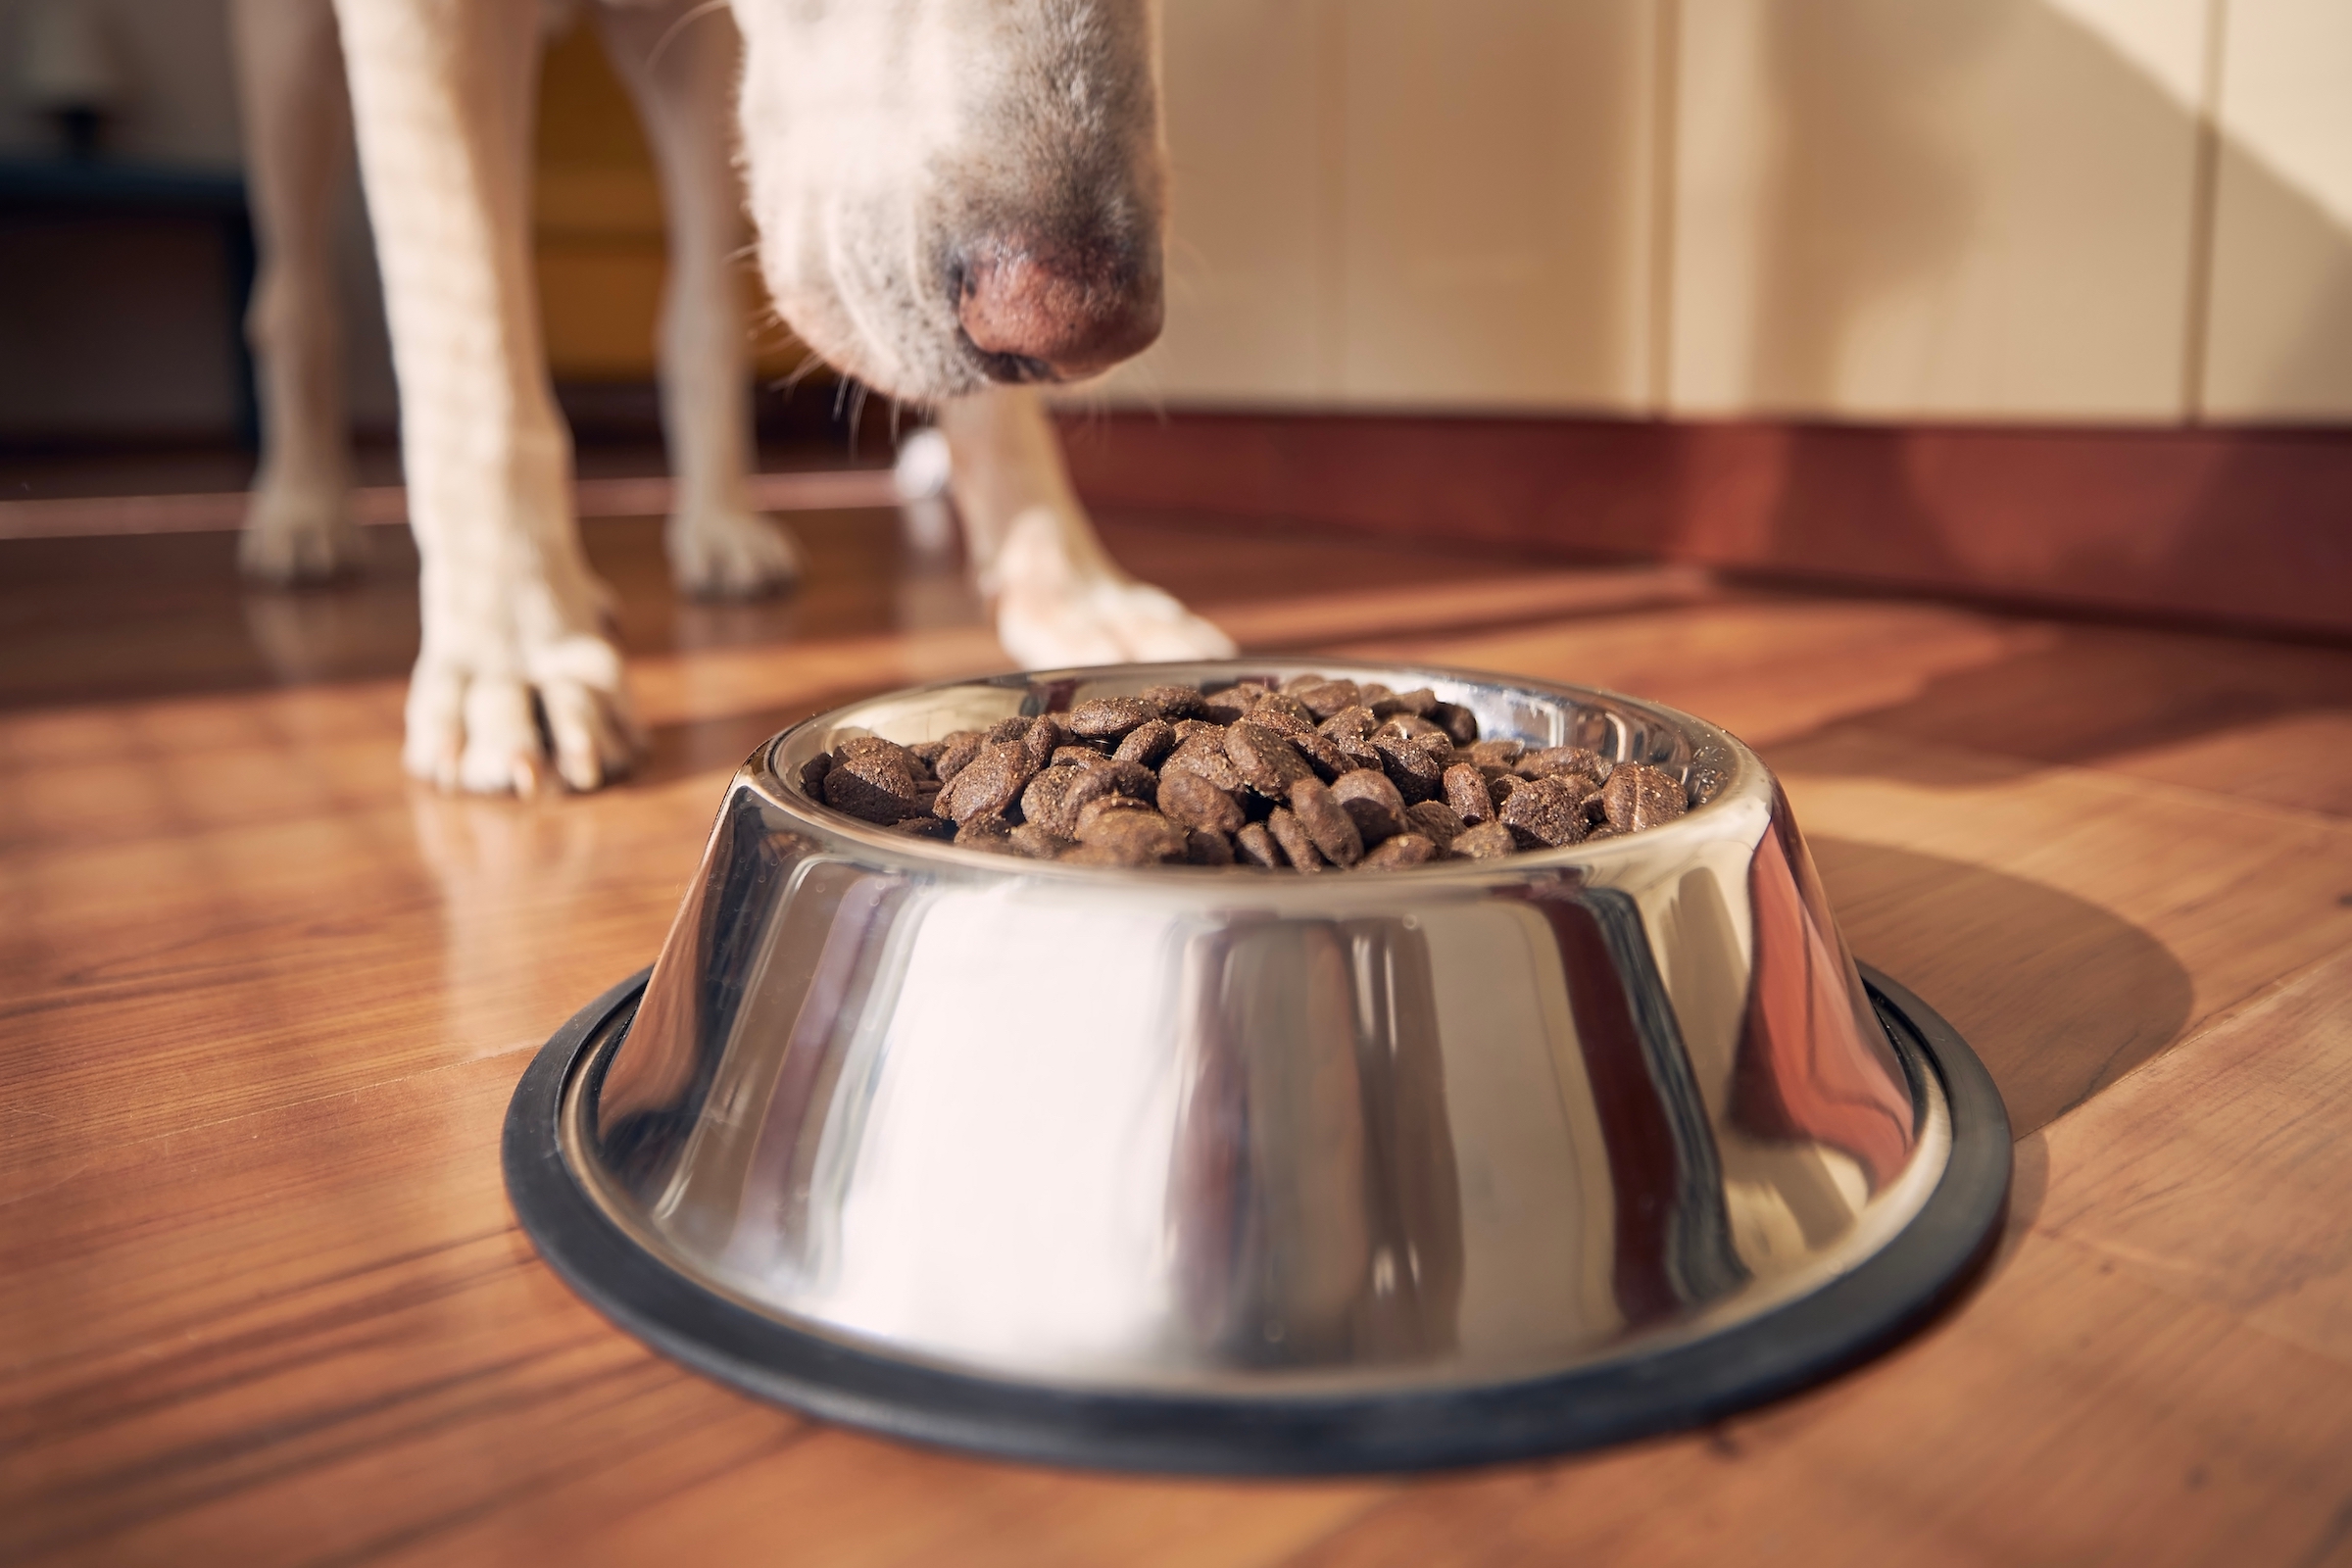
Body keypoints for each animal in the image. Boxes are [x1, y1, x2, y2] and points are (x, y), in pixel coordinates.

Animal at [229, 0, 1242, 789]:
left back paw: (722, 531)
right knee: (294, 302)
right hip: (289, 59)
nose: (1086, 332)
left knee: (701, 322)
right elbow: (476, 353)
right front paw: (515, 644)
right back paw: (303, 511)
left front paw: (1069, 587)